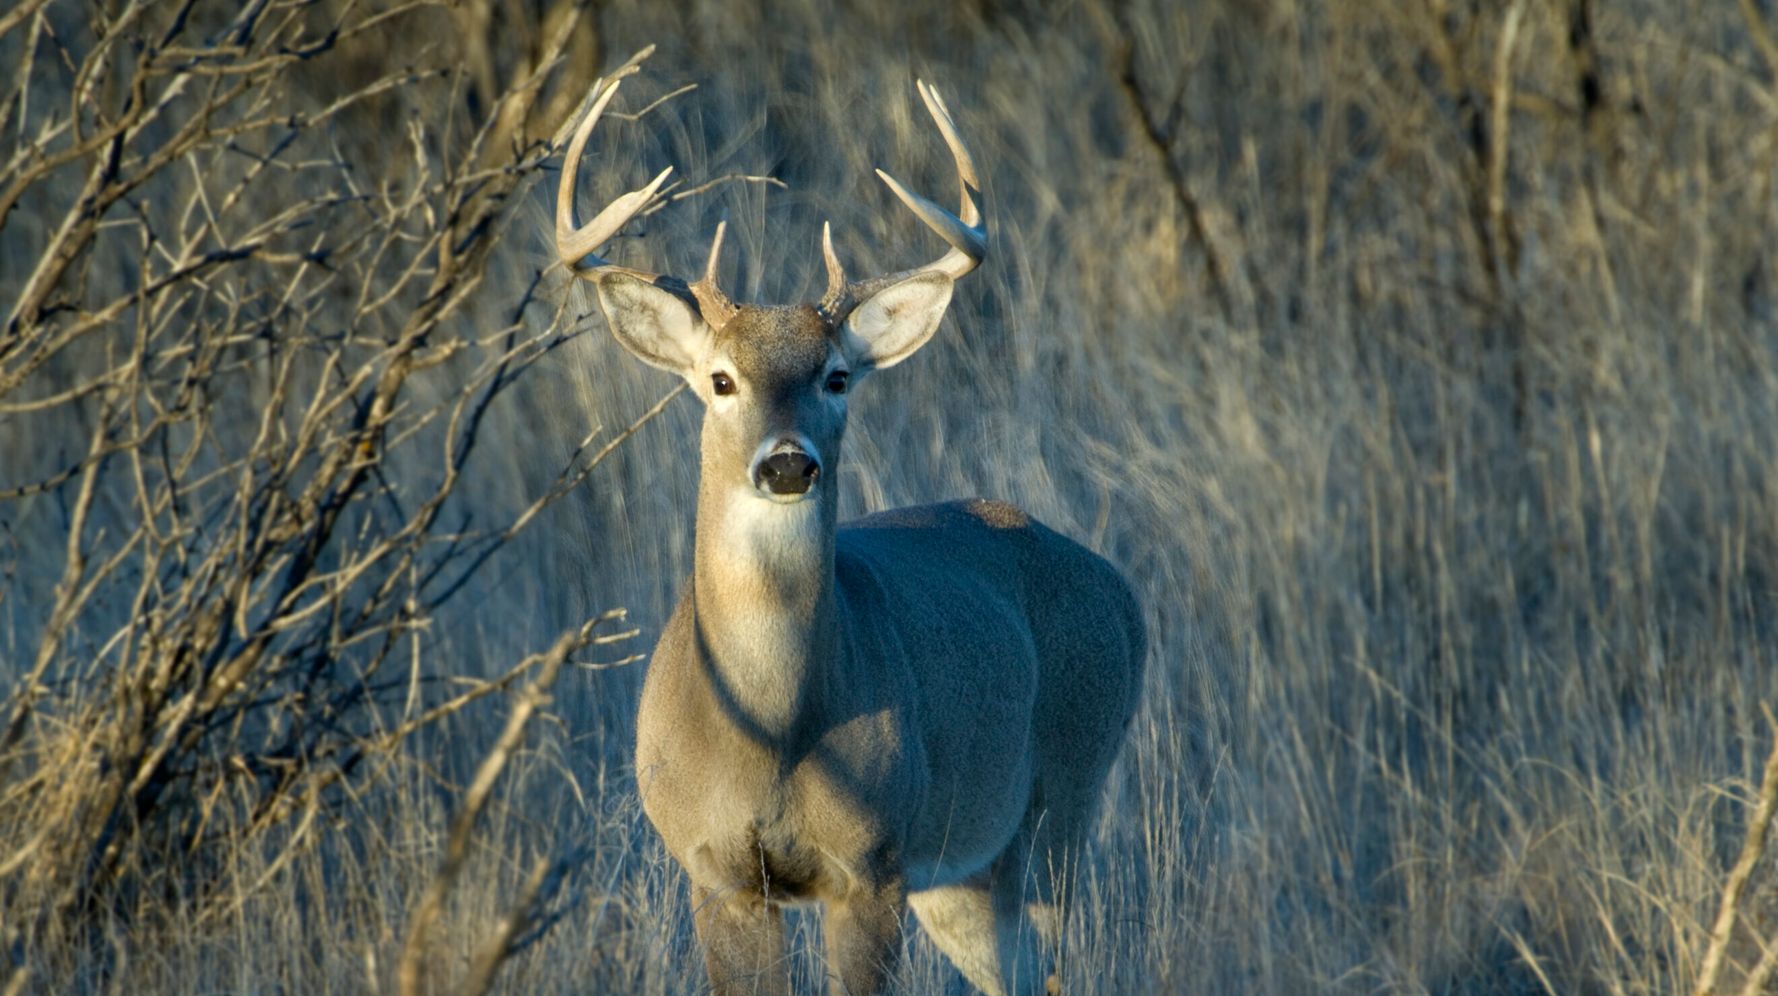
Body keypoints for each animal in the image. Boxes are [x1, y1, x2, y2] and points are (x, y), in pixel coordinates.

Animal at [551, 66, 1152, 988]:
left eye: (836, 376)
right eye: (720, 379)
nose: (787, 464)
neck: (773, 732)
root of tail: (1122, 594)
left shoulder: (870, 864)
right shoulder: (715, 869)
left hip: (1065, 794)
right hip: (965, 871)